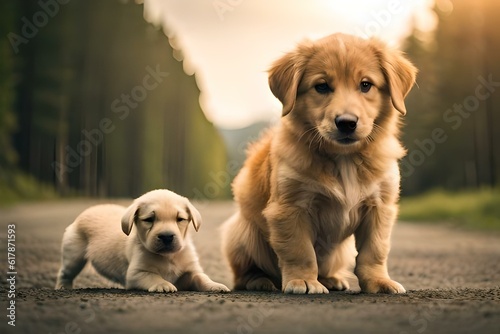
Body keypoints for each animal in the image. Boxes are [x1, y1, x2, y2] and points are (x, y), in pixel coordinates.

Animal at [56, 189, 230, 294]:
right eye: (149, 219)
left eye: (180, 219)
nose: (167, 236)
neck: (168, 257)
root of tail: (90, 209)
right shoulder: (136, 273)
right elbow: (153, 276)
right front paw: (163, 284)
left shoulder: (191, 271)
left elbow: (201, 277)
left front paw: (215, 285)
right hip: (74, 254)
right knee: (65, 273)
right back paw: (63, 287)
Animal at [221, 33, 416, 294]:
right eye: (321, 86)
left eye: (366, 85)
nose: (346, 123)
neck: (344, 159)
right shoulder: (290, 208)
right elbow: (300, 250)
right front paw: (303, 280)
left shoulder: (380, 207)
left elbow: (374, 250)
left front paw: (378, 281)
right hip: (242, 233)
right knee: (244, 274)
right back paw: (260, 281)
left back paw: (331, 279)